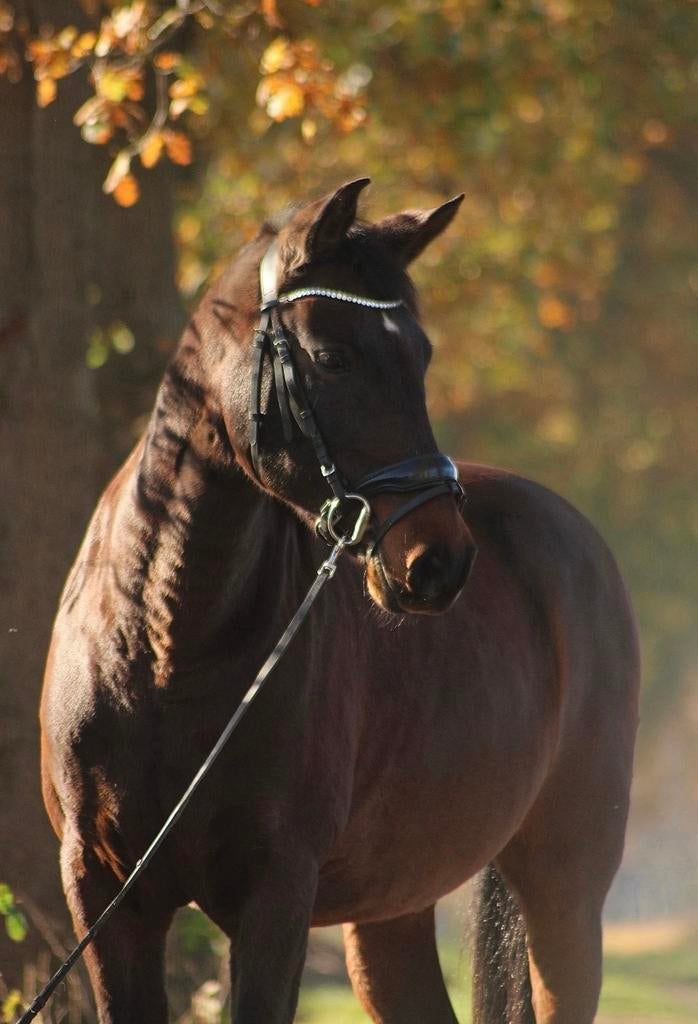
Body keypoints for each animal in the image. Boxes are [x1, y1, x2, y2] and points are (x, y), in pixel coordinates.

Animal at [40, 178, 639, 1024]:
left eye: (421, 355)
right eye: (332, 356)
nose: (440, 562)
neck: (166, 651)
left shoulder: (276, 895)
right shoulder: (106, 898)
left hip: (566, 887)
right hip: (391, 911)